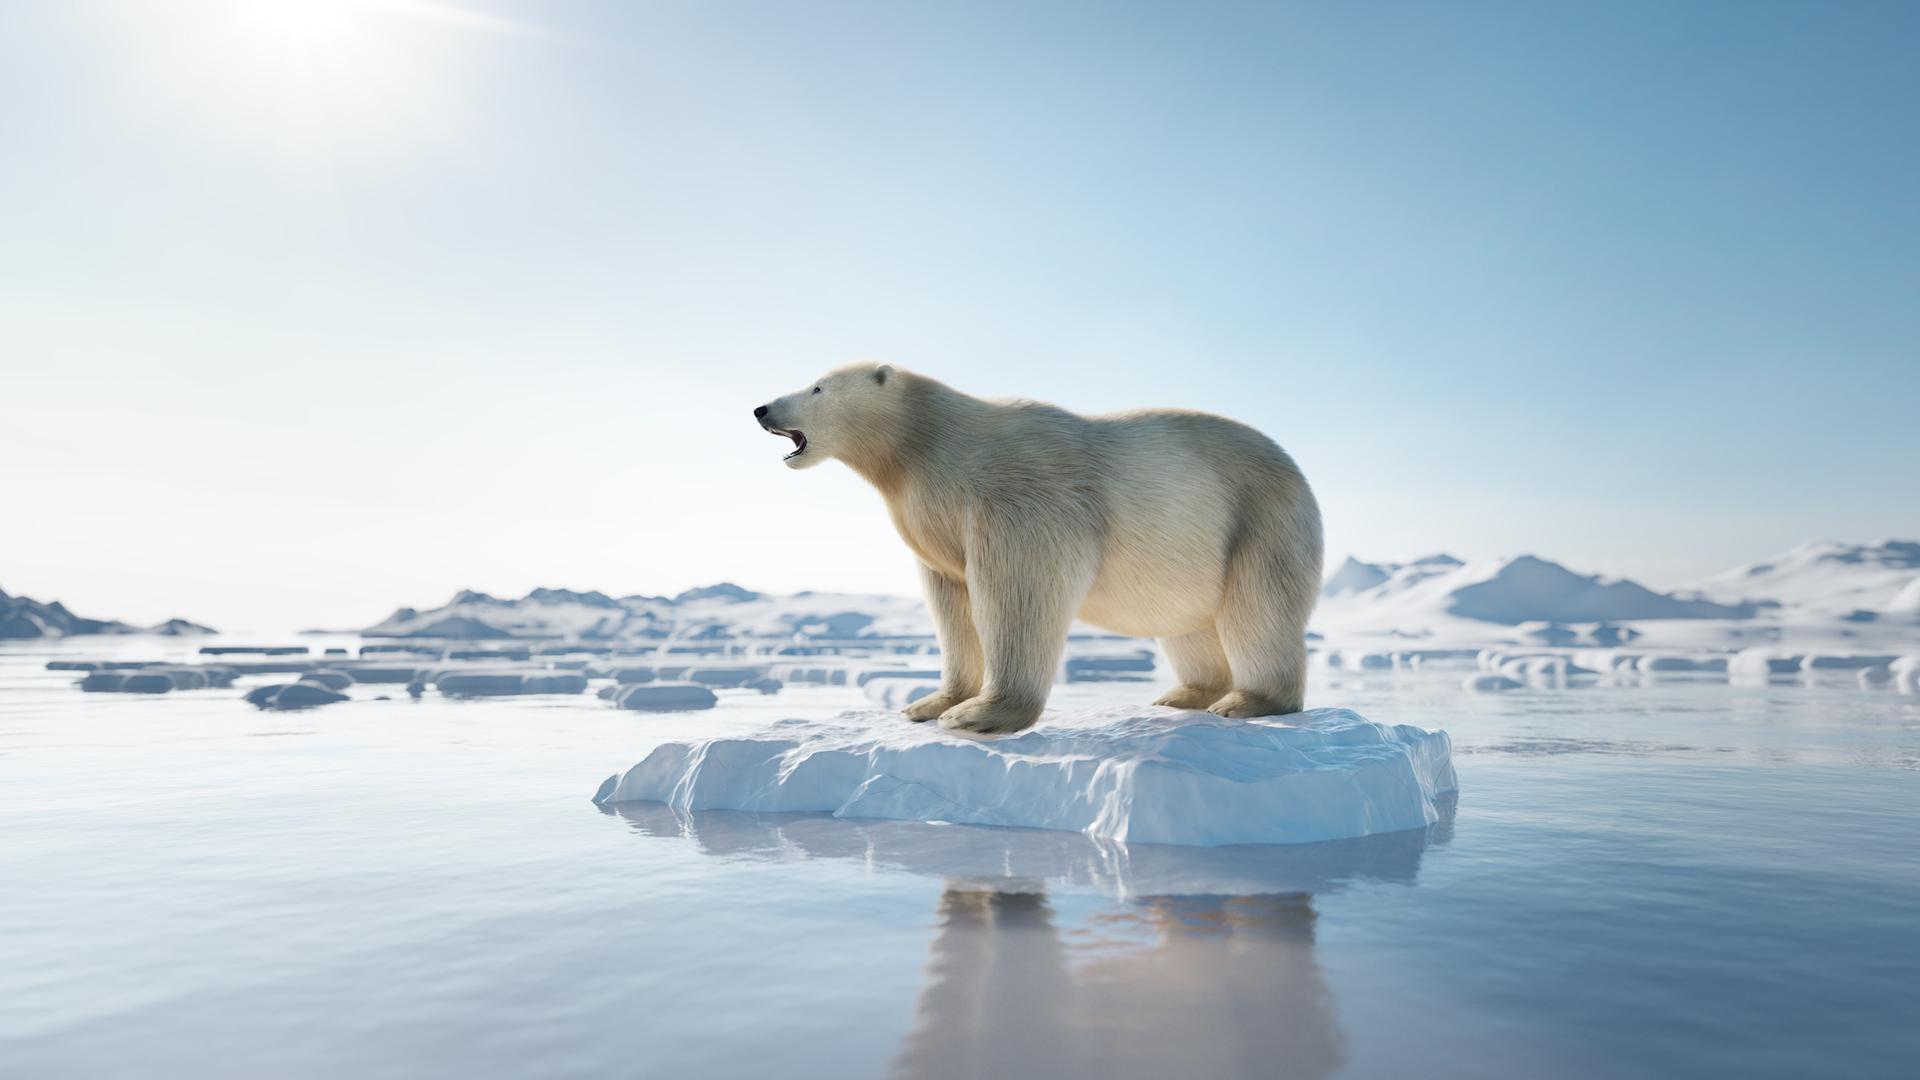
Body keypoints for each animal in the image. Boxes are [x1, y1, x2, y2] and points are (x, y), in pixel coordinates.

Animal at [748, 361, 1320, 730]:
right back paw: (1183, 695)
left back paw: (1247, 701)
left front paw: (979, 714)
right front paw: (930, 703)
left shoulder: (1019, 494)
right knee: (1187, 623)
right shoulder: (934, 519)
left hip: (1260, 519)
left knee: (1257, 610)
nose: (761, 408)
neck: (927, 443)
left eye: (817, 387)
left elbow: (1019, 590)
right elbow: (951, 601)